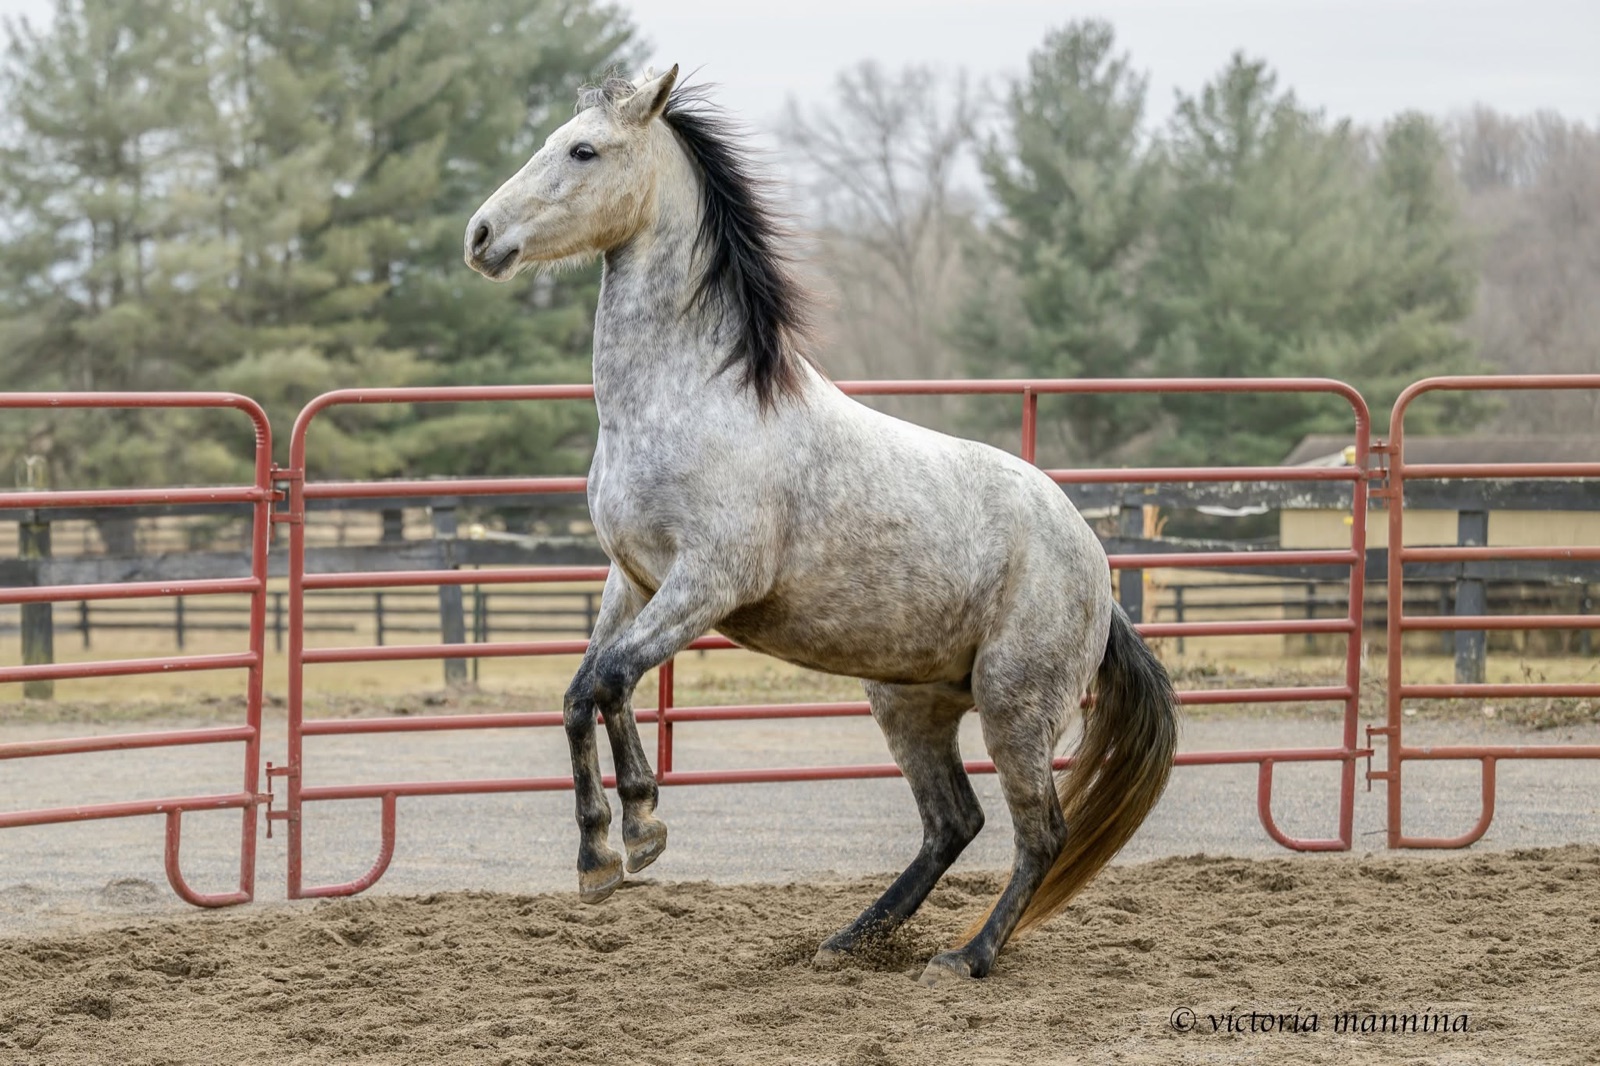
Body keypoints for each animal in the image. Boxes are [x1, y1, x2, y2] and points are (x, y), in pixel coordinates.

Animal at [462, 66, 1178, 986]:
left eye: (583, 150)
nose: (481, 236)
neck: (692, 397)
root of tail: (1097, 570)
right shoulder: (636, 579)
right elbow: (583, 691)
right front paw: (601, 856)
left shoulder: (708, 583)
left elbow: (611, 679)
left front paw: (641, 831)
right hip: (909, 702)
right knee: (954, 822)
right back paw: (849, 940)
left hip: (1014, 705)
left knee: (1039, 834)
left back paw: (965, 957)